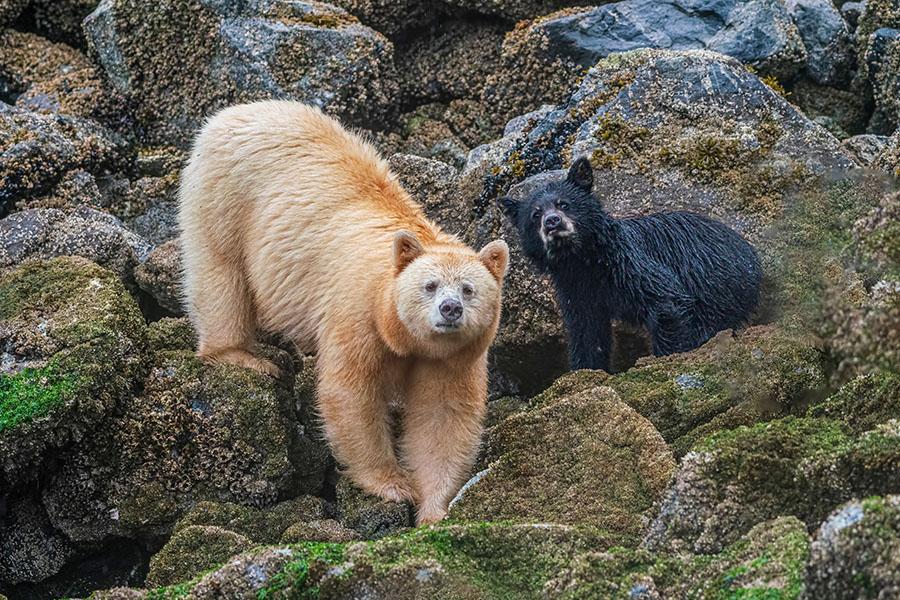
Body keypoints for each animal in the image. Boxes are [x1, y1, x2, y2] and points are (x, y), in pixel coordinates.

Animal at [178, 100, 509, 524]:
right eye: (430, 285)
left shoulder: (456, 356)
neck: (396, 327)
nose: (450, 309)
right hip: (226, 194)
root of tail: (238, 111)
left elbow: (442, 416)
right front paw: (393, 485)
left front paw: (435, 510)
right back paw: (240, 355)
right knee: (221, 272)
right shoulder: (356, 309)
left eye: (468, 289)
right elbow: (350, 392)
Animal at [500, 156, 761, 372]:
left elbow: (666, 299)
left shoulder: (629, 264)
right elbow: (587, 332)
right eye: (535, 214)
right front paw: (585, 369)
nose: (552, 222)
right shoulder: (575, 290)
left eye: (563, 204)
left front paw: (668, 355)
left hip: (718, 286)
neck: (583, 260)